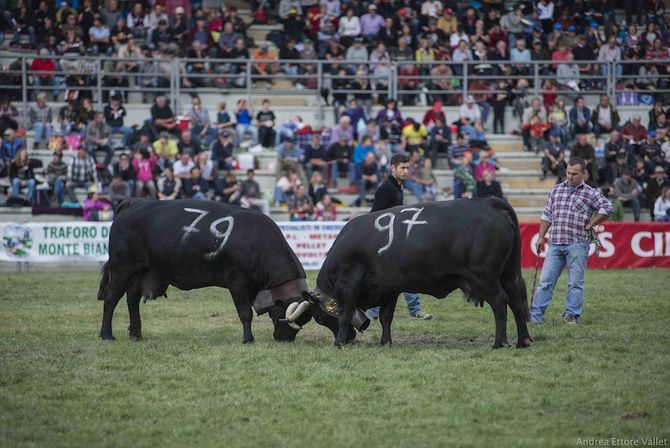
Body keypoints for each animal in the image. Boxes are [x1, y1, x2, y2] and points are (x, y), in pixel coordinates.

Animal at [97, 199, 362, 344]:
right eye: (283, 317)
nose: (283, 338)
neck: (257, 243)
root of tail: (135, 202)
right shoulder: (237, 281)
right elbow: (245, 313)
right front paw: (248, 339)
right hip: (122, 267)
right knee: (111, 298)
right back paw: (106, 334)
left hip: (141, 270)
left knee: (131, 299)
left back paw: (136, 332)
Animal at [292, 200, 532, 350]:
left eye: (319, 318)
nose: (351, 338)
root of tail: (488, 203)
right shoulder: (389, 287)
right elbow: (385, 317)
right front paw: (385, 342)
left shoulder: (348, 283)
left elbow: (344, 314)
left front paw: (338, 343)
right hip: (509, 274)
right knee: (517, 303)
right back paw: (523, 341)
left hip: (485, 278)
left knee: (500, 302)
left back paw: (500, 342)